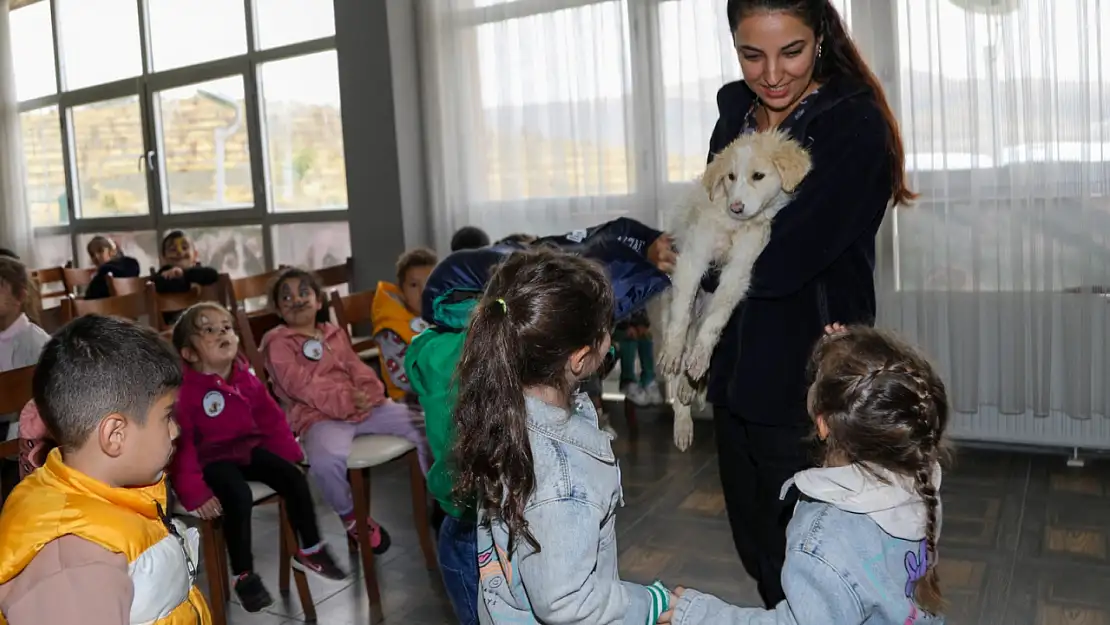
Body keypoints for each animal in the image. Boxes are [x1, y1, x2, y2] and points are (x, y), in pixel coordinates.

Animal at [657, 129, 808, 450]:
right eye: (730, 177)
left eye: (758, 176)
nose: (736, 207)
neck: (734, 226)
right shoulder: (692, 258)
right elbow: (680, 317)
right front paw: (674, 351)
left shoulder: (740, 270)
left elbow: (716, 322)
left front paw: (701, 357)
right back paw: (682, 422)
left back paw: (691, 384)